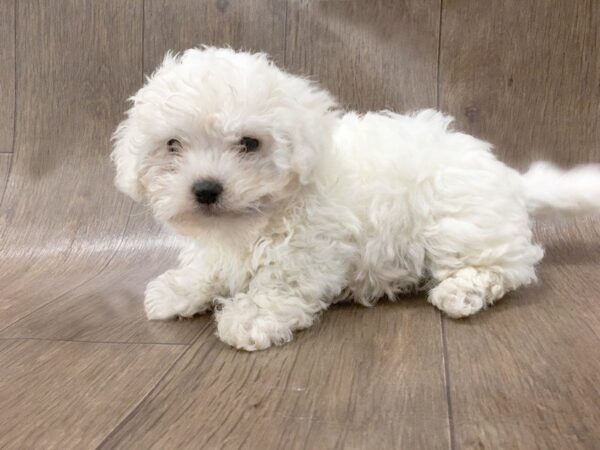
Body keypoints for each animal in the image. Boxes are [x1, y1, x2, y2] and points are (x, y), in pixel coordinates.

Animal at [111, 48, 600, 352]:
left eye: (249, 143)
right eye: (172, 145)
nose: (206, 189)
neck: (256, 221)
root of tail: (508, 177)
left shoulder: (310, 250)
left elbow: (281, 282)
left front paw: (249, 316)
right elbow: (207, 267)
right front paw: (179, 289)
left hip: (459, 225)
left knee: (506, 269)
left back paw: (460, 292)